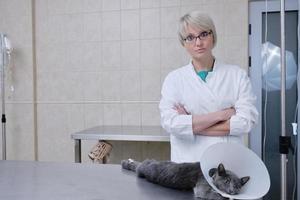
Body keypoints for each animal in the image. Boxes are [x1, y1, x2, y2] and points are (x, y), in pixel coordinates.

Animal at [120, 159, 250, 199]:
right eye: (227, 181)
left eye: (237, 186)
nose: (232, 191)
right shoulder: (202, 187)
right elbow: (215, 195)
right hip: (145, 169)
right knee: (139, 165)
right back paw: (127, 162)